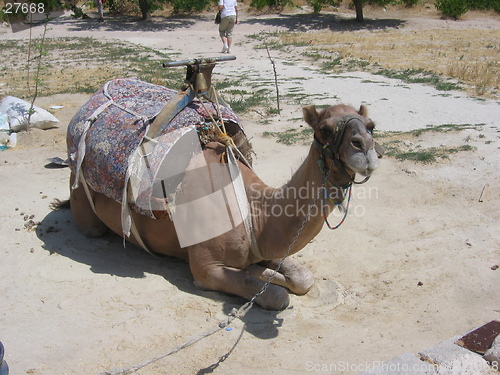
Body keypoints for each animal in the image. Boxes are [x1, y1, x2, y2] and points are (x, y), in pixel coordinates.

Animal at [65, 77, 378, 312]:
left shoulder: (264, 248)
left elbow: (303, 278)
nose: (364, 147)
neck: (253, 212)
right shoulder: (206, 267)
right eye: (324, 129)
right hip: (85, 205)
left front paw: (263, 272)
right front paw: (261, 279)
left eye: (371, 126)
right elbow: (277, 296)